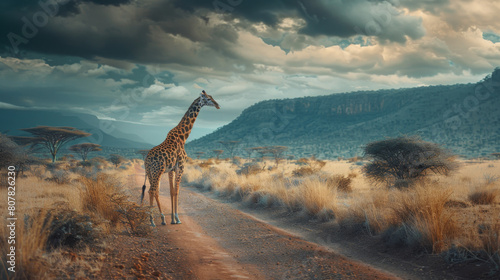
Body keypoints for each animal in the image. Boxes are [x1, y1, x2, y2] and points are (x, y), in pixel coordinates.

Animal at [140, 91, 220, 226]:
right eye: (208, 99)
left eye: (212, 97)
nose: (217, 105)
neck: (183, 136)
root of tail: (147, 160)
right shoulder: (181, 166)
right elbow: (177, 191)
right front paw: (177, 219)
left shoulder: (171, 169)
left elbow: (171, 191)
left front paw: (172, 219)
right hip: (157, 171)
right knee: (152, 191)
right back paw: (153, 220)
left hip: (151, 172)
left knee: (154, 191)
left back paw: (161, 219)